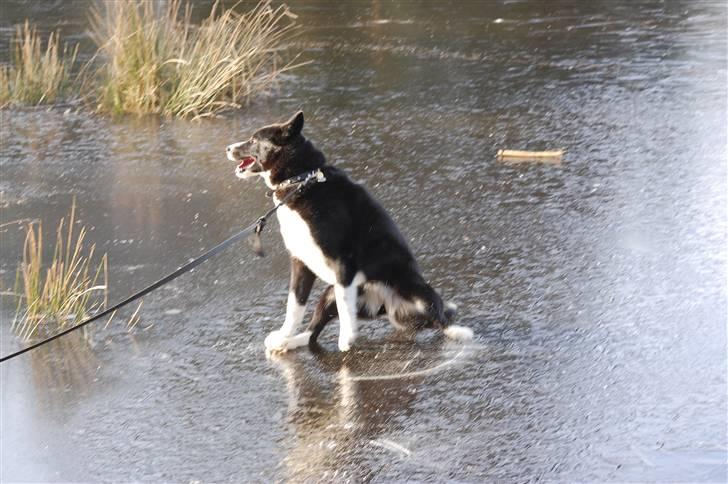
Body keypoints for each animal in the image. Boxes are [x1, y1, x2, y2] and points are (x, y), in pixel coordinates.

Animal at [225, 111, 472, 350]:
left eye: (253, 140)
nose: (228, 148)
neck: (302, 180)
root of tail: (385, 306)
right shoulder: (300, 263)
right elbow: (294, 306)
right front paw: (285, 335)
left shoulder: (343, 262)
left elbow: (344, 306)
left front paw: (347, 337)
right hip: (328, 294)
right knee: (313, 332)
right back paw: (290, 342)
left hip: (416, 291)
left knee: (440, 317)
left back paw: (458, 332)